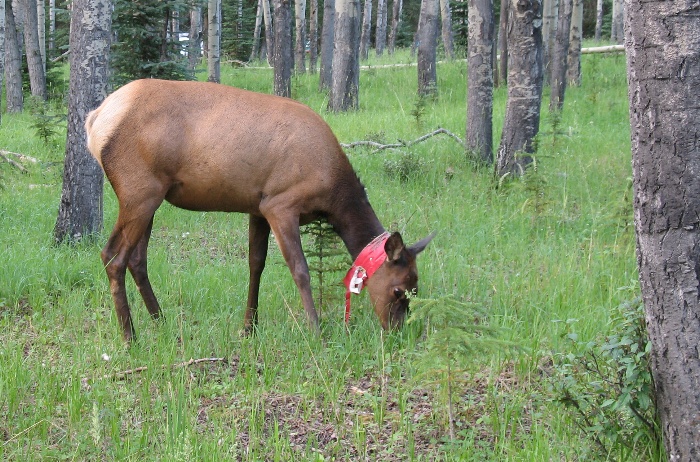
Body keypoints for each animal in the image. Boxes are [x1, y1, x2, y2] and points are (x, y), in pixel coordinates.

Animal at [85, 79, 434, 342]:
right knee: (113, 255)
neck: (334, 196)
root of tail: (95, 118)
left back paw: (161, 320)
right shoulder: (280, 204)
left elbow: (256, 264)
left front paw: (249, 327)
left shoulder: (257, 207)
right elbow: (300, 269)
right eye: (399, 289)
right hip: (139, 191)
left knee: (137, 259)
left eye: (416, 287)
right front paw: (316, 330)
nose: (397, 332)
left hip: (152, 196)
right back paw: (130, 337)